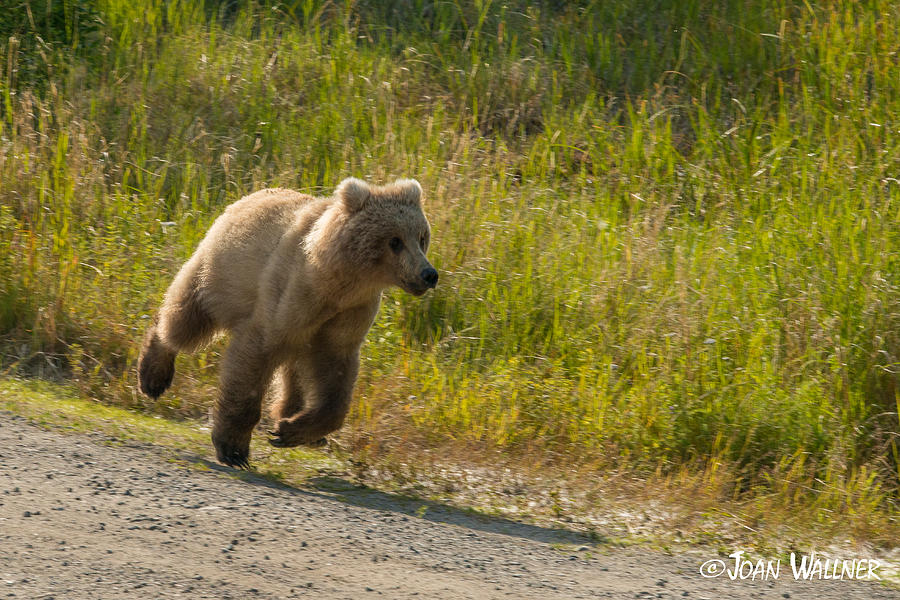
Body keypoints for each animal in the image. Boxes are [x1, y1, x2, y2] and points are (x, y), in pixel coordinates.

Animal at [136, 178, 440, 468]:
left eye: (422, 237)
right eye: (395, 240)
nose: (428, 274)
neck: (337, 282)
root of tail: (250, 195)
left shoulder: (348, 315)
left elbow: (337, 379)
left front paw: (291, 430)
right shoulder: (291, 293)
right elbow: (256, 354)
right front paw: (234, 448)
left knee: (294, 370)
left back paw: (293, 417)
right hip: (220, 274)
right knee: (185, 321)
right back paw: (154, 375)